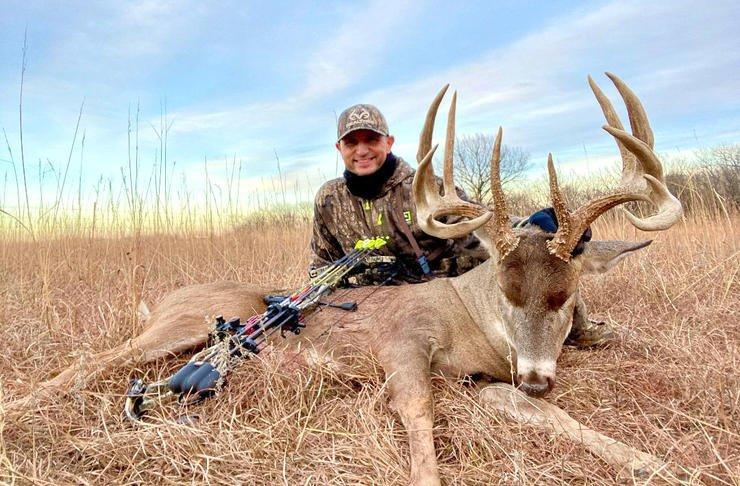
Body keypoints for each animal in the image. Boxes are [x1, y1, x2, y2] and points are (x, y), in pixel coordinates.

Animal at [4, 73, 685, 484]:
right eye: (506, 289)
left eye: (566, 297)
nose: (540, 376)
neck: (471, 322)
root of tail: (163, 300)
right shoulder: (402, 343)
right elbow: (416, 410)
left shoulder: (486, 383)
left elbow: (548, 415)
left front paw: (655, 461)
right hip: (185, 324)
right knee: (91, 362)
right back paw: (18, 409)